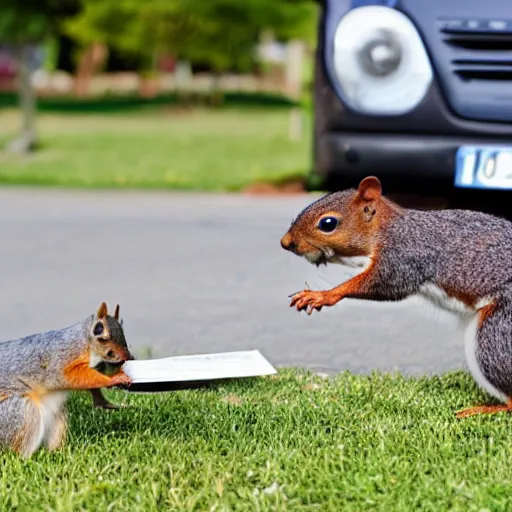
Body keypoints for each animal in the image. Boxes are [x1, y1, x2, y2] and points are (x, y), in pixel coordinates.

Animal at [0, 300, 134, 456]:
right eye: (100, 331)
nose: (129, 357)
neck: (85, 342)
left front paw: (106, 401)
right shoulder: (61, 360)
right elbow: (76, 377)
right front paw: (115, 378)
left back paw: (58, 452)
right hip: (20, 413)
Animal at [282, 176, 512, 416]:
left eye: (328, 223)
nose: (285, 242)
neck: (388, 229)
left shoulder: (403, 256)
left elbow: (389, 283)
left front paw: (323, 295)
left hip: (495, 332)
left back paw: (487, 408)